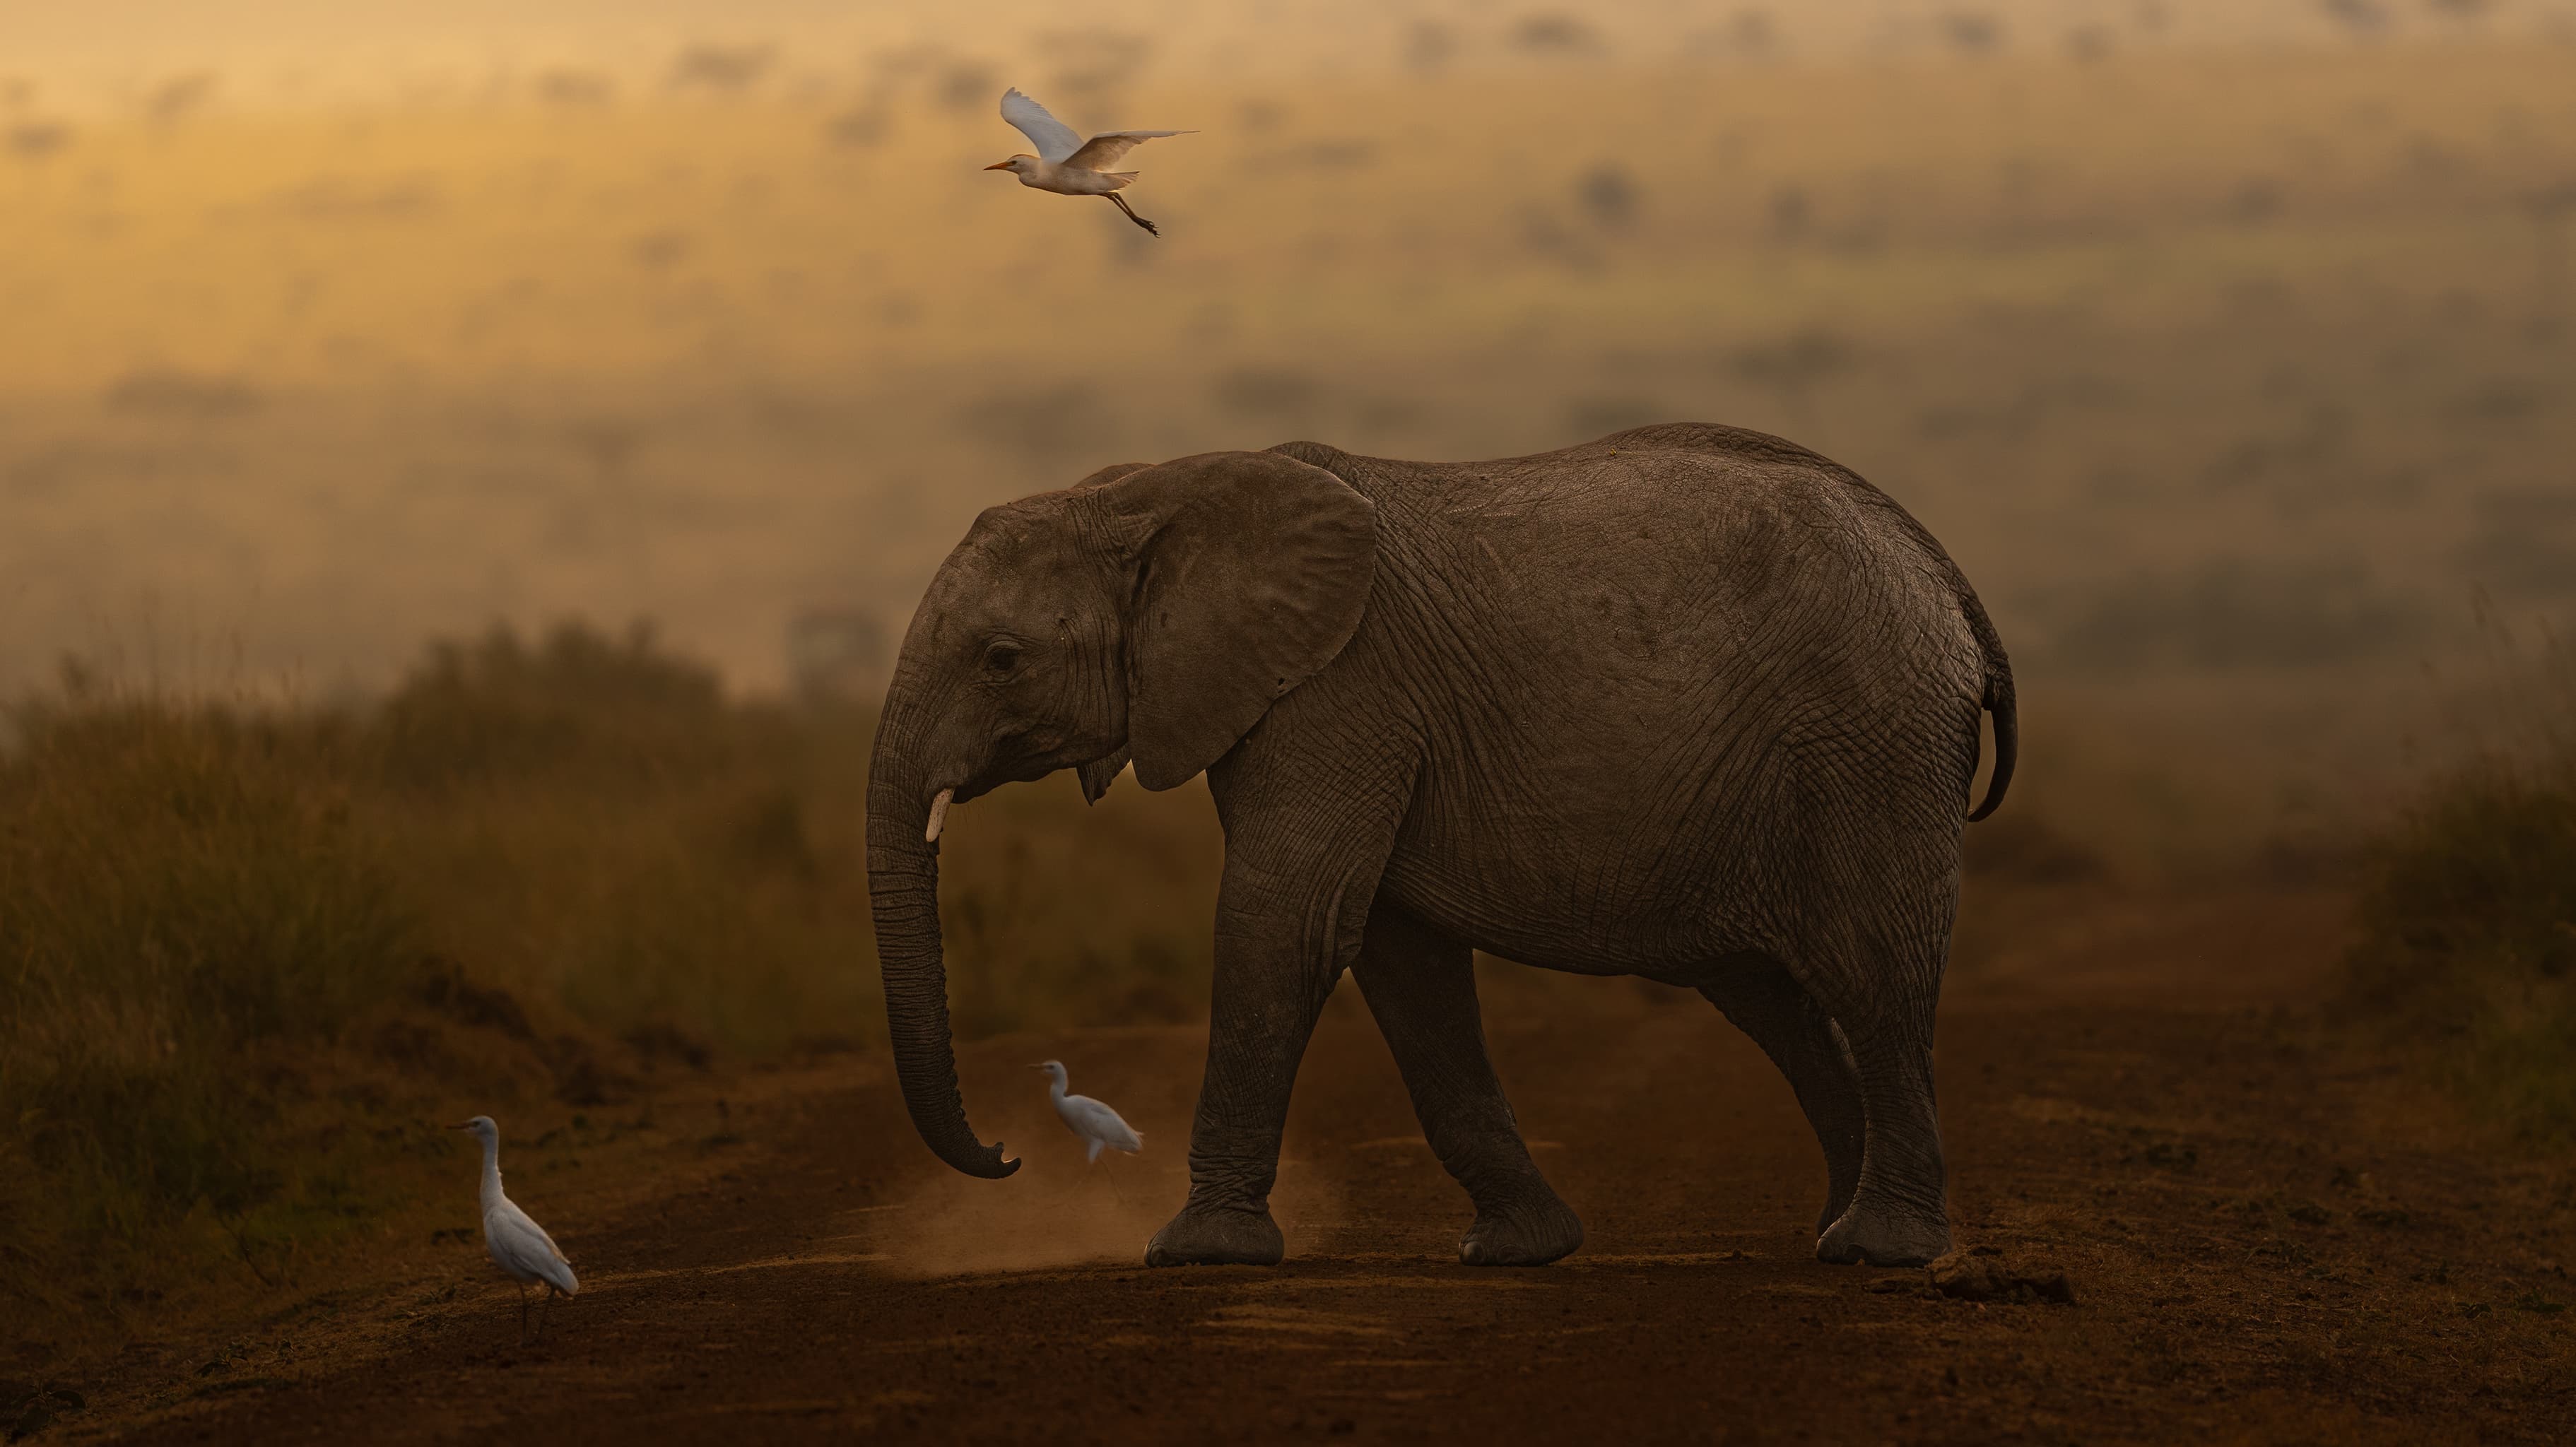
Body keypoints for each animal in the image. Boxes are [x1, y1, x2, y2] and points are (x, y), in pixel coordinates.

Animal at [865, 422, 2016, 1270]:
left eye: (1001, 658)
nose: (1007, 1153)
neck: (1149, 491)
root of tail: (1945, 577)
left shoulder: (1340, 693)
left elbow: (1284, 928)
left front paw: (1192, 1254)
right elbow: (1397, 957)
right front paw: (1521, 1251)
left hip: (1871, 740)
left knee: (1872, 978)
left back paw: (1881, 1250)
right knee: (1773, 1002)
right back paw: (1832, 1230)